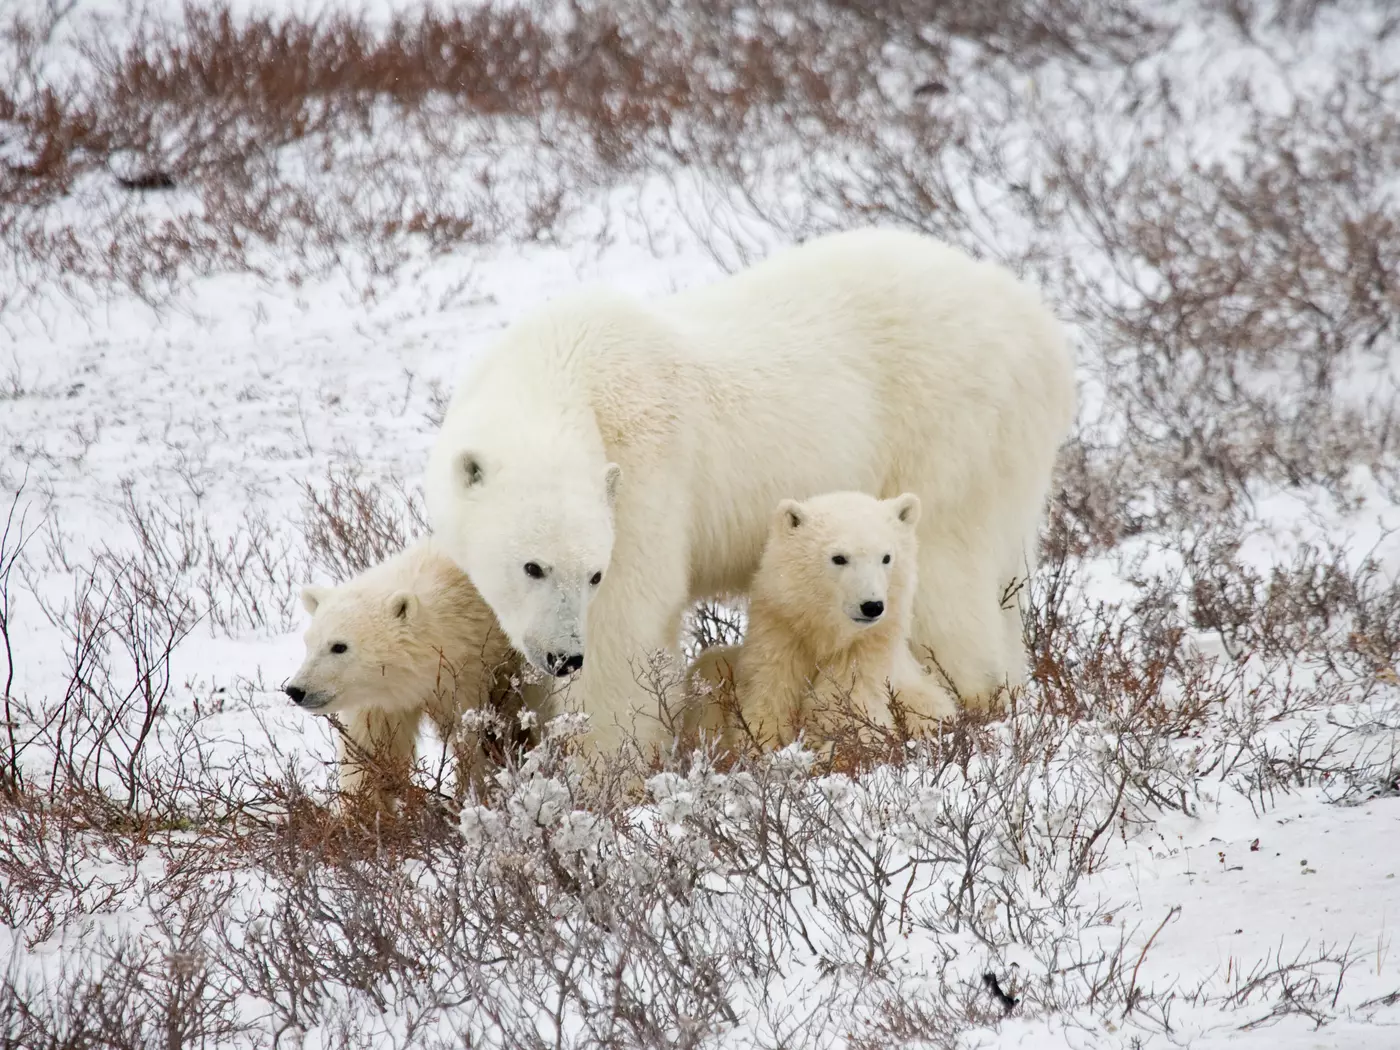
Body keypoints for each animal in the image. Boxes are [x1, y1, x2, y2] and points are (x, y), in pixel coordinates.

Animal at [284, 536, 549, 803]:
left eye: (339, 646)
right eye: (309, 642)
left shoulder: (474, 675)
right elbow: (372, 752)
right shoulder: (382, 702)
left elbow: (475, 739)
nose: (296, 690)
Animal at [684, 491, 956, 748]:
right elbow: (769, 695)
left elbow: (851, 709)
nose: (872, 606)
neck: (824, 633)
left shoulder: (862, 653)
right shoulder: (782, 635)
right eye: (839, 558)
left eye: (887, 557)